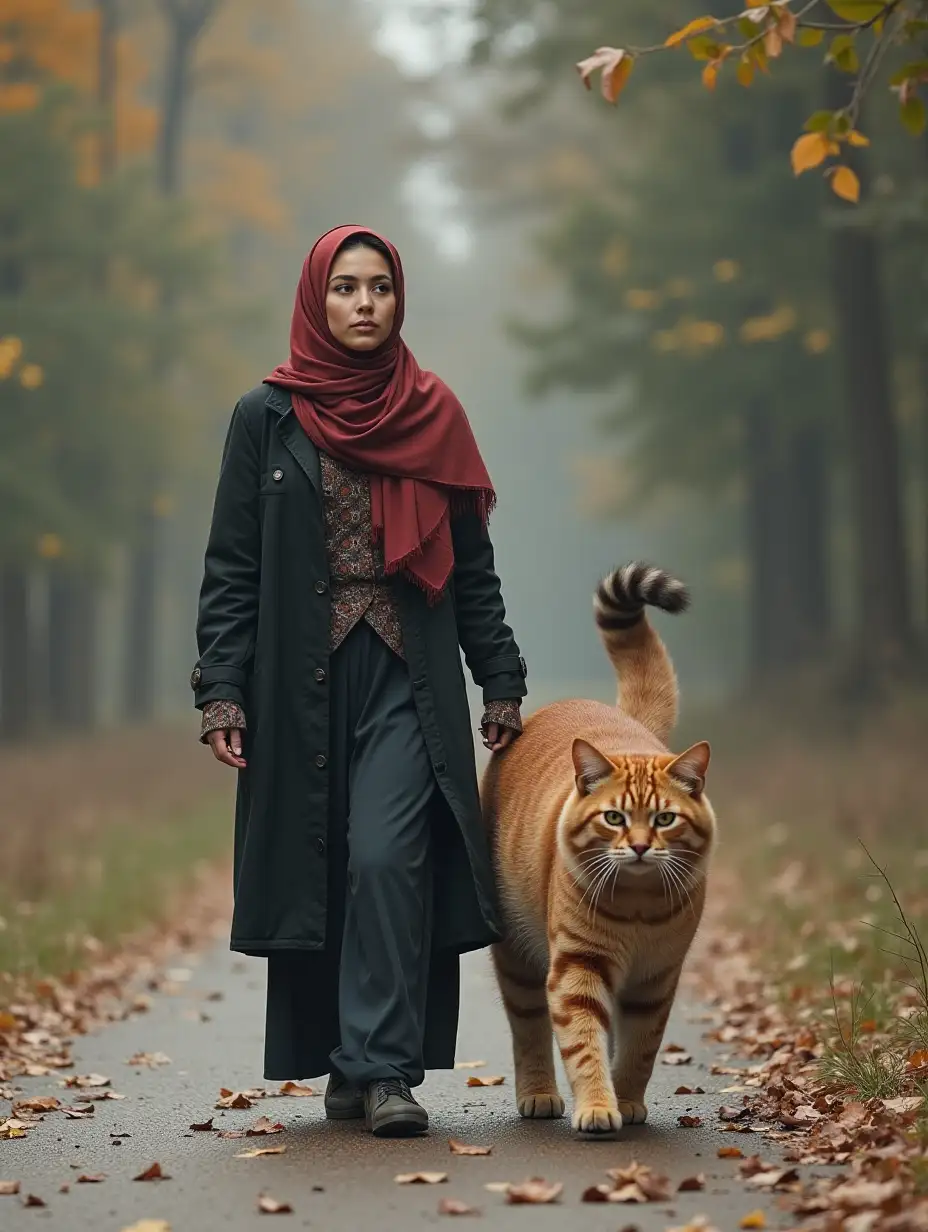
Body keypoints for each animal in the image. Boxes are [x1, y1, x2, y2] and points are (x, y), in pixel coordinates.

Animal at [480, 564, 714, 1138]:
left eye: (664, 819)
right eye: (614, 818)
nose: (639, 847)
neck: (638, 906)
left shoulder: (656, 979)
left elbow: (639, 1051)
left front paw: (625, 1100)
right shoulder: (577, 965)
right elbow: (582, 1043)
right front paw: (597, 1107)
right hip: (517, 957)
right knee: (529, 1029)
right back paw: (539, 1094)